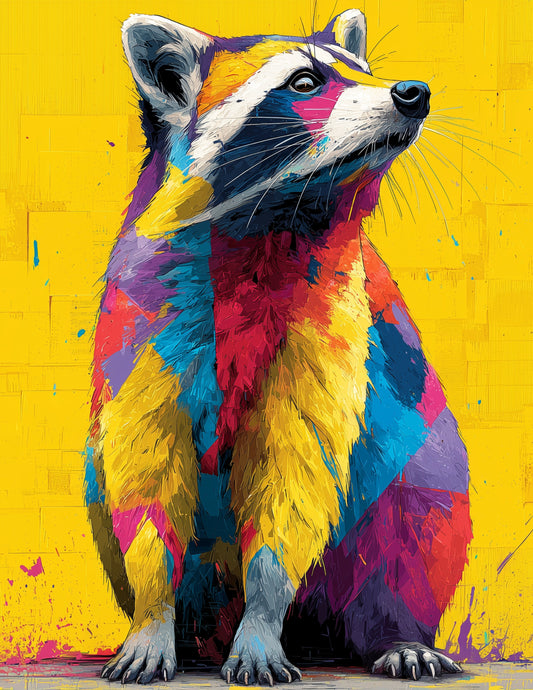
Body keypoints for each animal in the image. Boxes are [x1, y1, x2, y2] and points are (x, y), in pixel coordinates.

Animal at [85, 9, 472, 684]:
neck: (282, 215)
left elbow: (295, 464)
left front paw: (263, 618)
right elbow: (144, 464)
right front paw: (152, 614)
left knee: (418, 512)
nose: (412, 92)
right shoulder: (143, 304)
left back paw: (397, 632)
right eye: (304, 82)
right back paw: (187, 633)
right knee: (101, 473)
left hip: (414, 481)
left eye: (365, 72)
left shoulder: (330, 315)